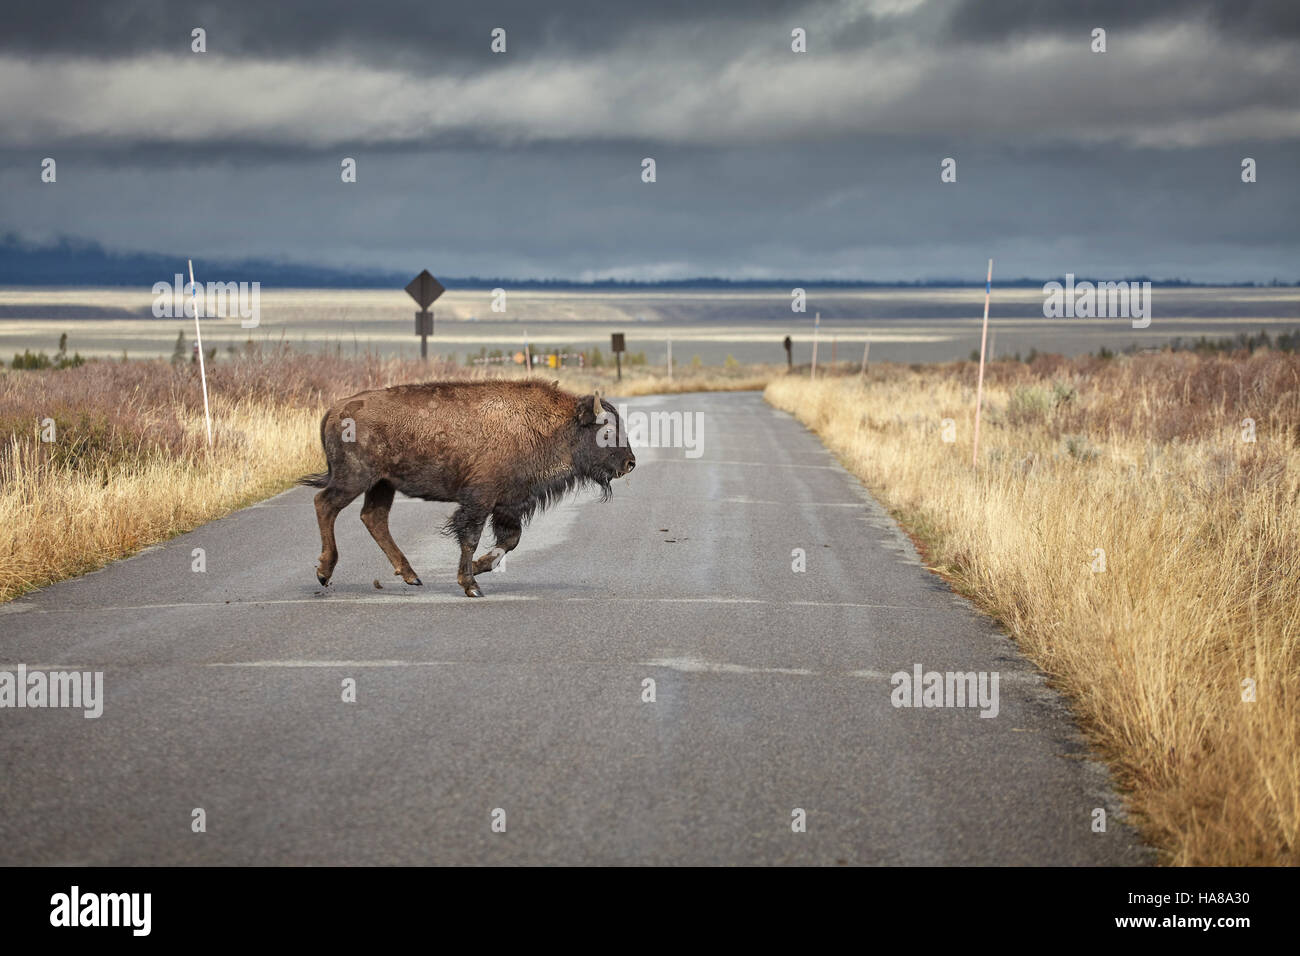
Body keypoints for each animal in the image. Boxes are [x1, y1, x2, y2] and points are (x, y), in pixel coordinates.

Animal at [299, 382, 634, 598]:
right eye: (606, 430)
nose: (630, 462)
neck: (549, 425)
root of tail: (335, 409)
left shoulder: (508, 505)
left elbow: (510, 541)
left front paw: (477, 568)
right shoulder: (480, 501)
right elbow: (470, 538)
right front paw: (471, 585)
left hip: (382, 485)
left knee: (373, 518)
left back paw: (412, 576)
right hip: (355, 479)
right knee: (324, 504)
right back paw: (324, 572)